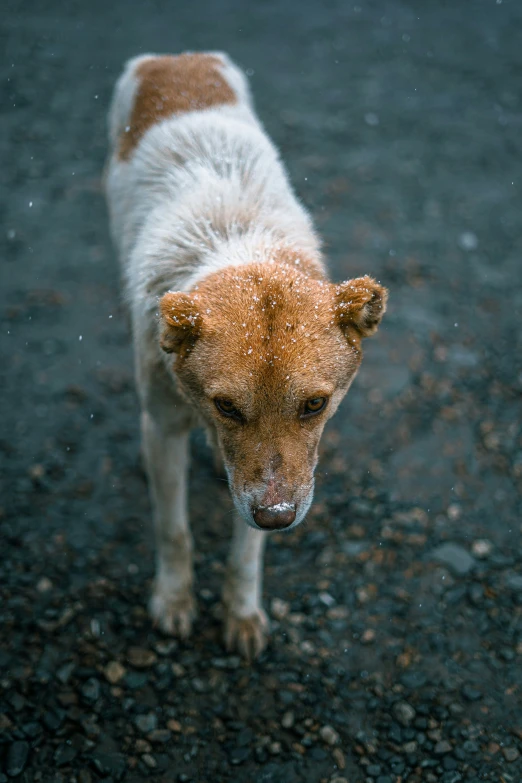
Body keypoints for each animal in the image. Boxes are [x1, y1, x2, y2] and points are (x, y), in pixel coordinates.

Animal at [103, 50, 386, 660]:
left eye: (314, 405)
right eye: (227, 407)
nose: (277, 518)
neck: (236, 243)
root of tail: (177, 57)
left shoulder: (271, 487)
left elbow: (246, 550)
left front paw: (241, 612)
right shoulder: (164, 428)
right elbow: (173, 529)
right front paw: (174, 600)